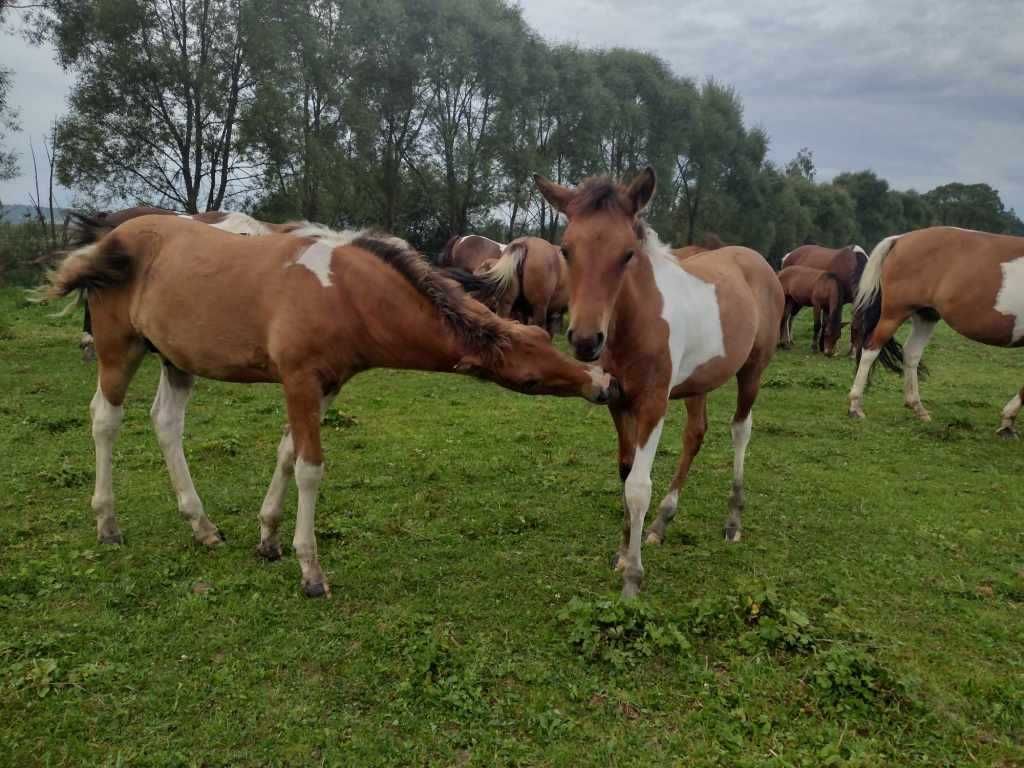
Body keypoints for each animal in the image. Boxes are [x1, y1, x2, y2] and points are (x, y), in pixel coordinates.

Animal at [46, 214, 614, 598]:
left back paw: (202, 526)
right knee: (106, 419)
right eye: (531, 377)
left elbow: (286, 454)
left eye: (542, 341)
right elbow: (310, 467)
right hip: (119, 348)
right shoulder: (298, 379)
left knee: (166, 423)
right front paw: (310, 570)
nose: (602, 382)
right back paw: (108, 524)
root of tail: (113, 236)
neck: (345, 292)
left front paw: (268, 539)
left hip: (175, 358)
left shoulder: (326, 387)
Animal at [532, 167, 778, 602]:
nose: (585, 340)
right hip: (698, 381)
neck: (637, 320)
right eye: (565, 250)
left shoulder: (652, 405)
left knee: (740, 430)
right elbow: (625, 471)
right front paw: (621, 553)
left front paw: (633, 579)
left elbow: (638, 487)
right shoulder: (618, 401)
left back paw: (733, 522)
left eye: (627, 253)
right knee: (695, 434)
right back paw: (662, 523)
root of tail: (757, 261)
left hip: (753, 369)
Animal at [847, 225, 1024, 436]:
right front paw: (1008, 422)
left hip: (927, 315)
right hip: (895, 313)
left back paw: (917, 407)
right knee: (871, 349)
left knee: (911, 353)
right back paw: (855, 406)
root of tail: (900, 239)